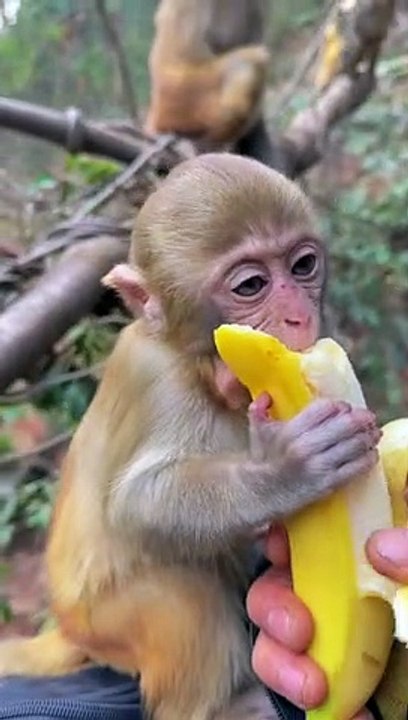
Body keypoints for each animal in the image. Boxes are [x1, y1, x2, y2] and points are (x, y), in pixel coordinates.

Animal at [0, 154, 381, 720]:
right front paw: (285, 470)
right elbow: (138, 503)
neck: (203, 371)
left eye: (303, 267)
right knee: (183, 592)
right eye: (250, 285)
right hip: (109, 623)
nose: (299, 317)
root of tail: (69, 630)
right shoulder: (159, 380)